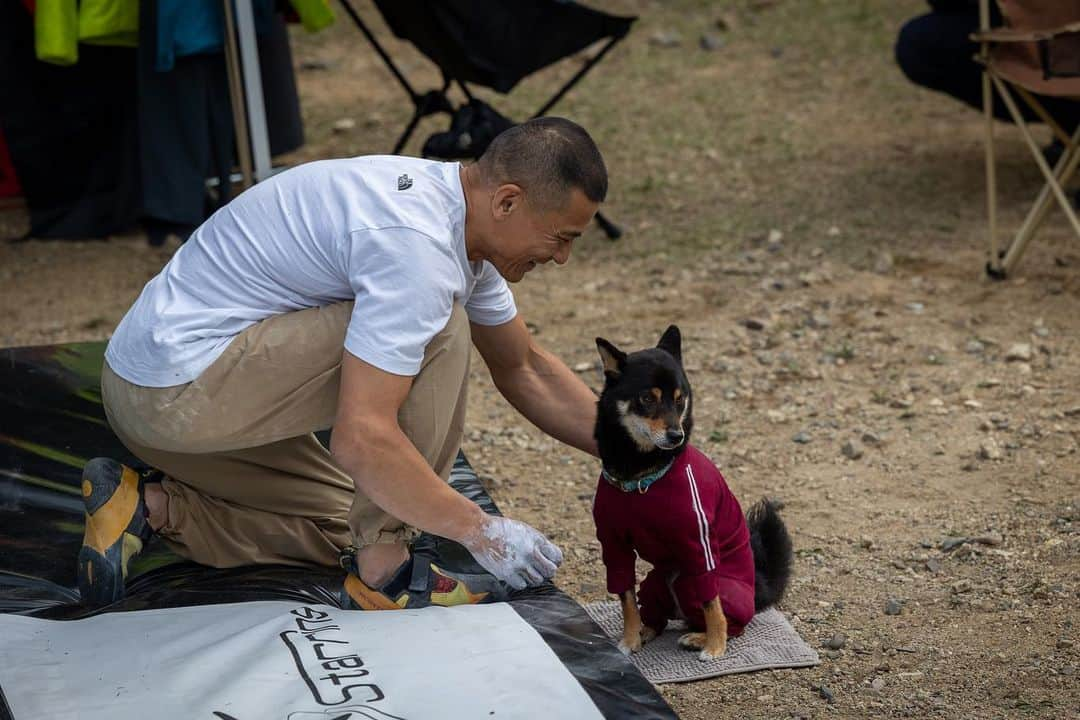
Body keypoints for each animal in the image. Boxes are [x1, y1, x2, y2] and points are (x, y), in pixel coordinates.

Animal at [596, 325, 790, 660]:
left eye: (680, 399)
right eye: (646, 398)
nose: (676, 435)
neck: (641, 478)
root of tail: (758, 591)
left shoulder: (699, 548)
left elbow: (712, 604)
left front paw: (715, 646)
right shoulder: (614, 546)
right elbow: (626, 599)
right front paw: (630, 639)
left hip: (691, 583)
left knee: (729, 620)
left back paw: (701, 637)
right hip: (655, 582)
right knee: (658, 614)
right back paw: (648, 631)